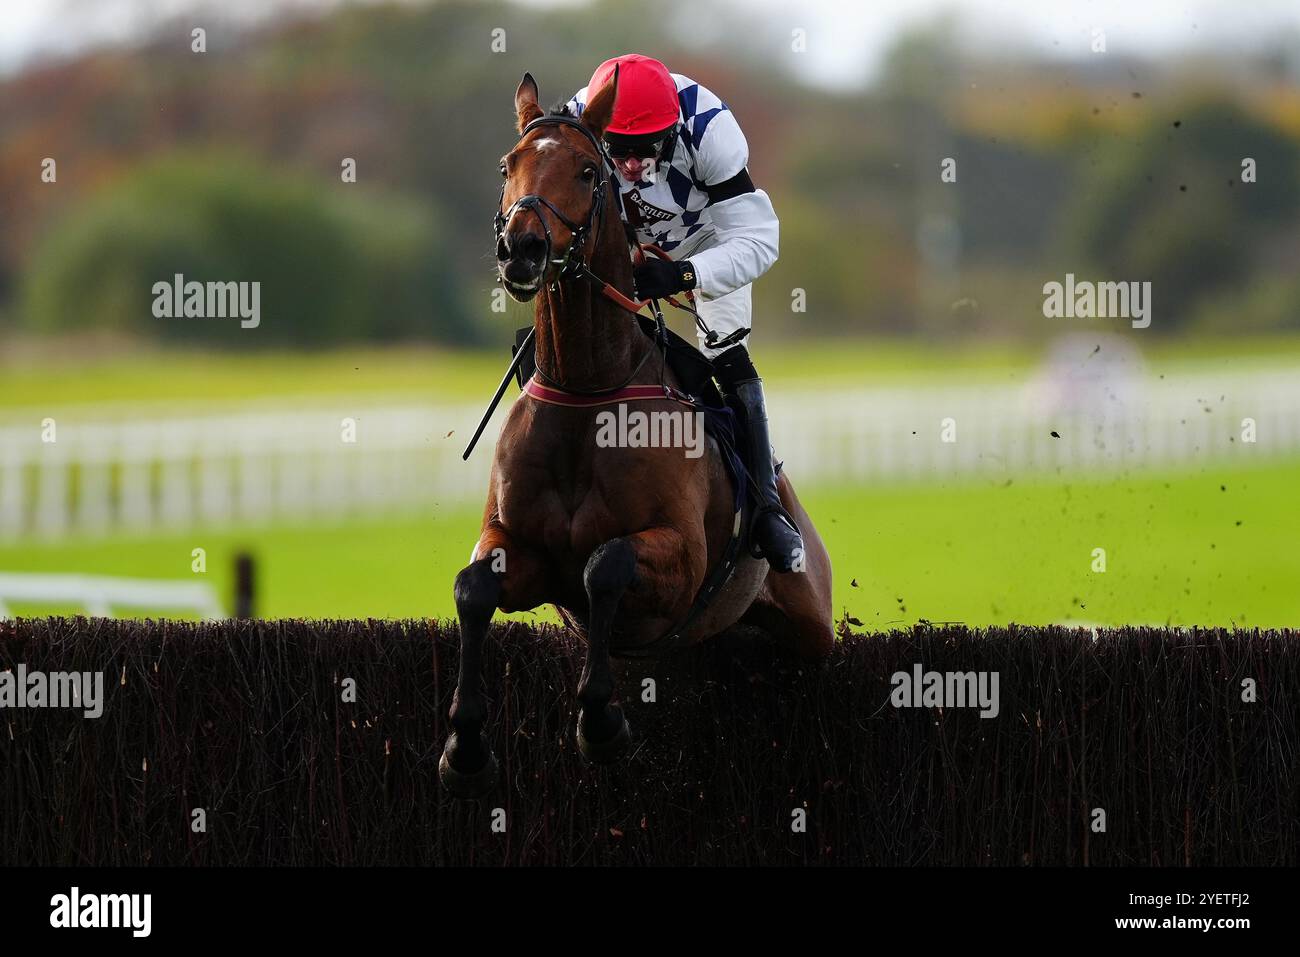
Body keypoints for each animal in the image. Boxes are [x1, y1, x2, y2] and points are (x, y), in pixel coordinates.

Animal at [441, 69, 832, 800]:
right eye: (509, 165)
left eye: (587, 171)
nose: (522, 248)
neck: (588, 391)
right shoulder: (521, 549)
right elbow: (474, 588)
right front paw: (465, 746)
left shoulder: (681, 558)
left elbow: (606, 565)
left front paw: (600, 724)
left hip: (810, 622)